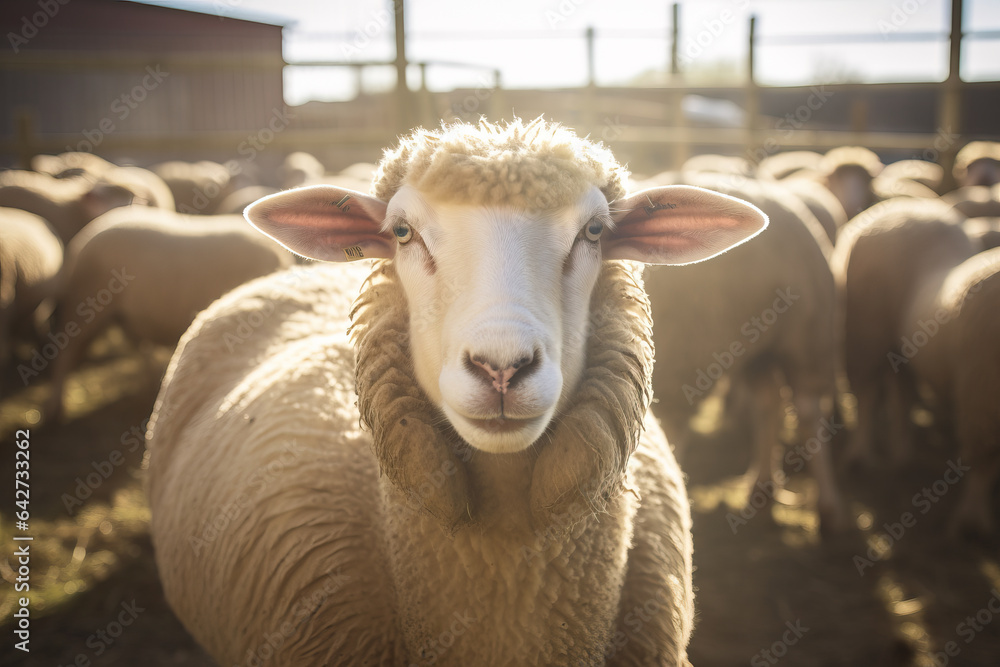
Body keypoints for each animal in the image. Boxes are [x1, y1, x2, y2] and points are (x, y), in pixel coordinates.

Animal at [638, 170, 846, 533]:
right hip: (754, 349)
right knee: (768, 403)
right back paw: (762, 489)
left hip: (806, 337)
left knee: (808, 412)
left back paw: (828, 508)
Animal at [831, 198, 976, 466]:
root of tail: (901, 204)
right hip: (866, 331)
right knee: (866, 391)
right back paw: (861, 453)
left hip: (897, 344)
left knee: (901, 394)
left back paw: (902, 452)